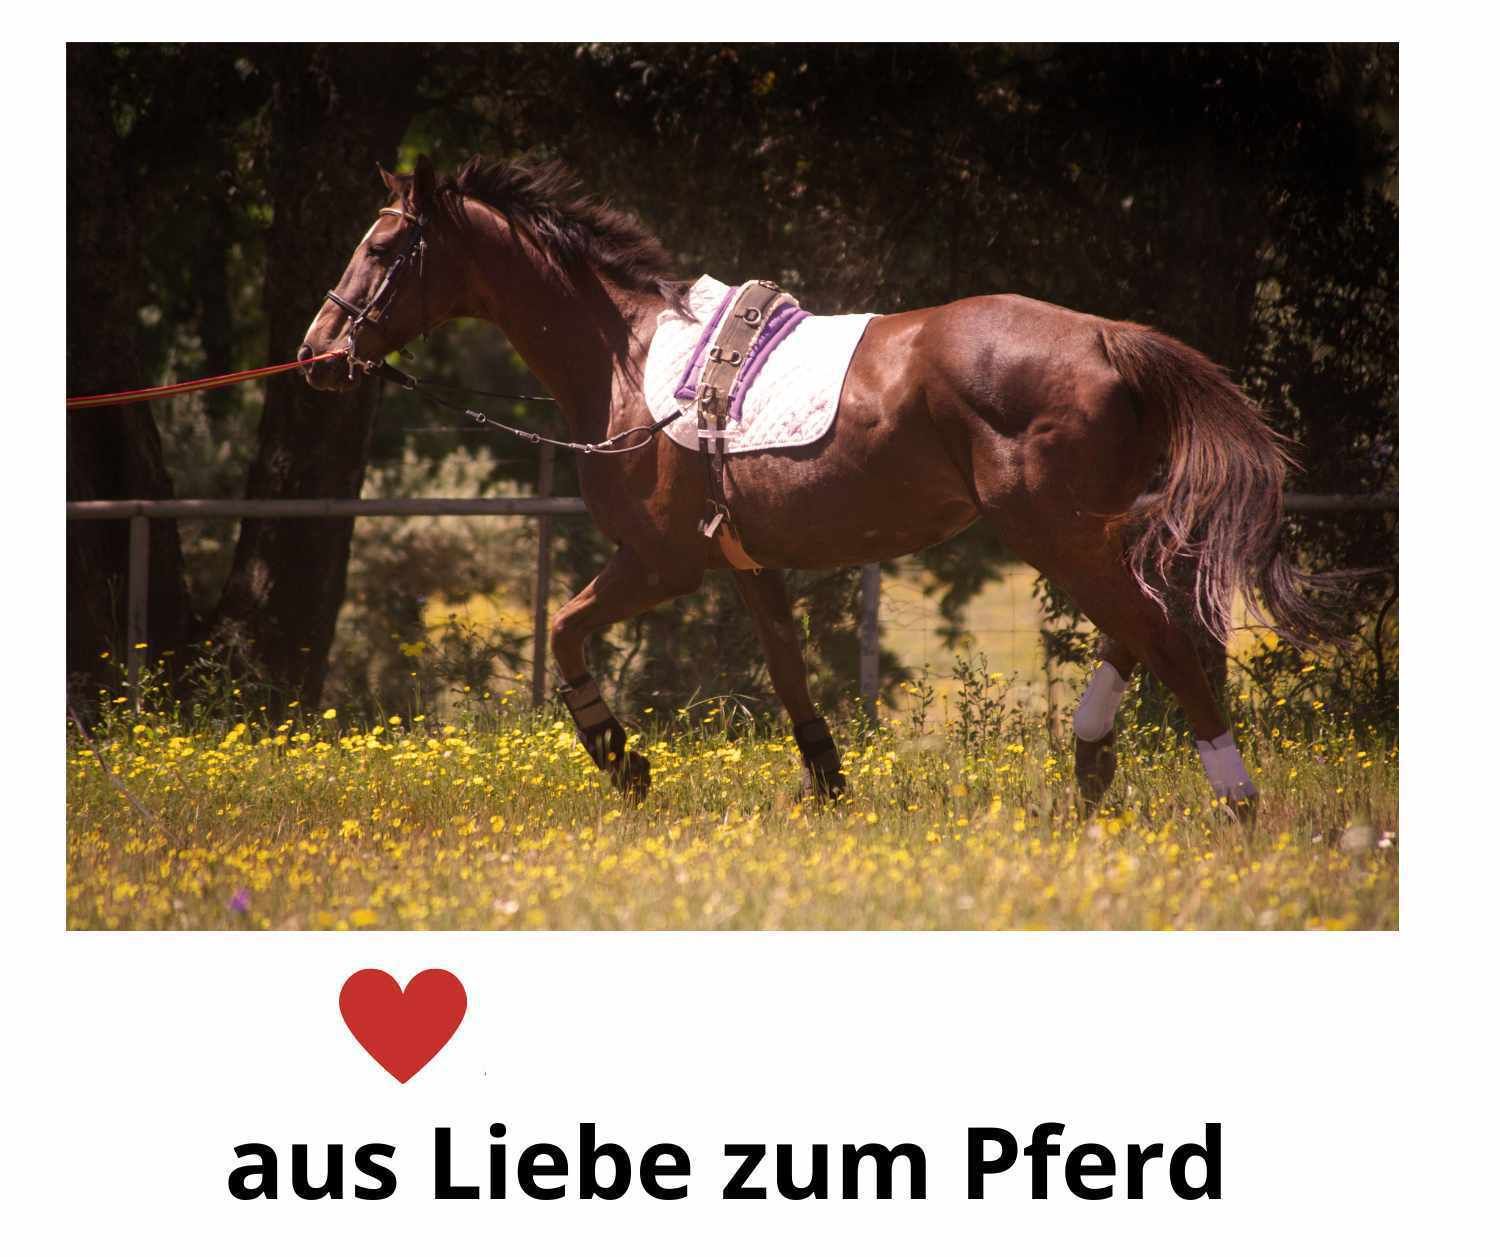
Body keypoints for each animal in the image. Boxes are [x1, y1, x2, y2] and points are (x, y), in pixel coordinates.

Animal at [299, 154, 1336, 813]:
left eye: (383, 249)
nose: (316, 353)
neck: (626, 359)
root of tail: (1107, 336)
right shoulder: (747, 565)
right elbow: (789, 669)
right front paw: (827, 782)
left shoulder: (661, 563)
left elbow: (562, 631)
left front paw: (621, 760)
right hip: (1090, 532)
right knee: (1150, 619)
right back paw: (1091, 757)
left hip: (1056, 534)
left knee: (1162, 631)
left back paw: (1232, 798)